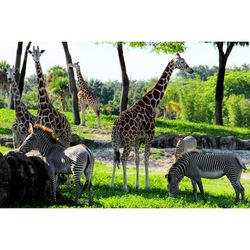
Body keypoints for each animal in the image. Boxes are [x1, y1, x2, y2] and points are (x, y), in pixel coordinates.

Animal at [110, 53, 194, 191]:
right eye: (182, 62)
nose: (191, 70)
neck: (151, 103)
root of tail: (117, 125)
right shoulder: (149, 136)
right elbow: (146, 159)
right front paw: (147, 186)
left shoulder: (138, 139)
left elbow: (138, 160)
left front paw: (138, 185)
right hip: (127, 140)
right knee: (123, 158)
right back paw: (125, 187)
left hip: (115, 140)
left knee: (115, 157)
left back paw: (112, 185)